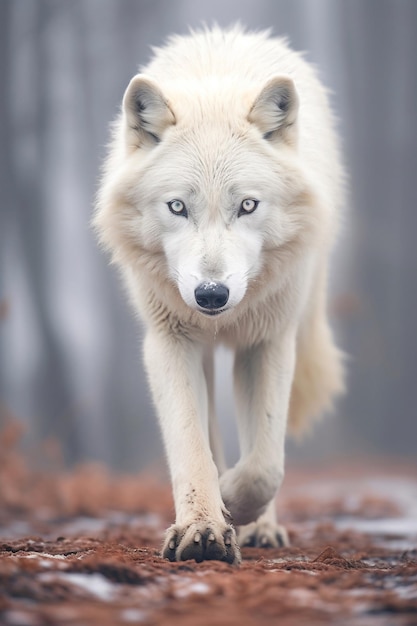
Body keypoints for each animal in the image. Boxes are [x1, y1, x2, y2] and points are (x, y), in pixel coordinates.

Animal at [94, 25, 344, 564]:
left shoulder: (268, 342)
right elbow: (192, 447)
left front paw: (232, 502)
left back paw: (260, 527)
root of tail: (228, 32)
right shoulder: (170, 341)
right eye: (177, 207)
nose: (212, 295)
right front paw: (203, 528)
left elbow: (265, 466)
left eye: (247, 205)